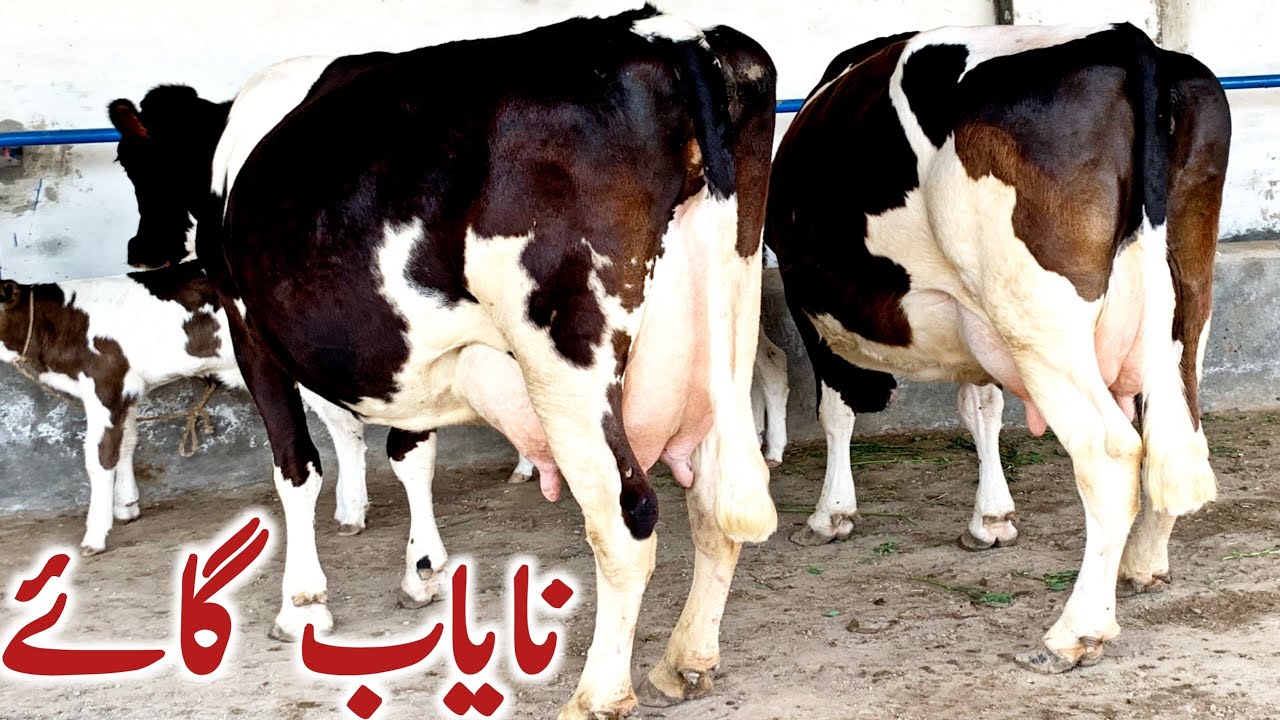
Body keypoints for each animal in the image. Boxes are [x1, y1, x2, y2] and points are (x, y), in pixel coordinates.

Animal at [0, 263, 370, 554]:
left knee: (346, 431)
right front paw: (127, 506)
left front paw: (95, 535)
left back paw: (351, 513)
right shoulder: (129, 393)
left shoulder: (105, 386)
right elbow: (126, 444)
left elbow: (100, 457)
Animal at [115, 7, 777, 716]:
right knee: (715, 506)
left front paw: (302, 604)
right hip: (726, 332)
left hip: (566, 353)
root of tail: (675, 35)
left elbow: (296, 468)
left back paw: (597, 693)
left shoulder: (250, 332)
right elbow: (411, 453)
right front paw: (423, 571)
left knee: (626, 520)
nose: (139, 248)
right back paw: (685, 662)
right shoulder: (417, 355)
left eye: (134, 162)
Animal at [766, 24, 1230, 673]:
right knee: (1178, 434)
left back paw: (1074, 632)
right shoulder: (972, 317)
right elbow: (981, 409)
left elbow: (835, 411)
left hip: (1036, 316)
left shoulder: (811, 306)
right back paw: (1143, 565)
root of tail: (1124, 40)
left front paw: (830, 514)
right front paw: (991, 519)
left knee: (1112, 455)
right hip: (1185, 301)